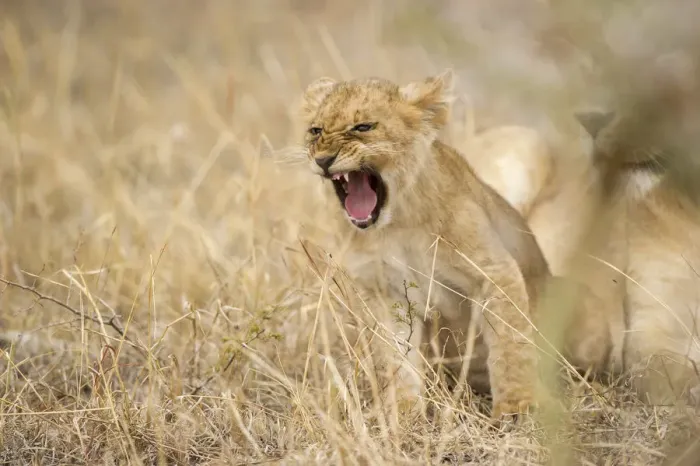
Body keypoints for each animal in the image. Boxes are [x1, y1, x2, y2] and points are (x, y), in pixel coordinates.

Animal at [297, 69, 552, 420]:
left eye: (363, 127)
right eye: (316, 130)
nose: (323, 160)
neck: (397, 225)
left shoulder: (494, 270)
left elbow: (510, 341)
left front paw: (517, 408)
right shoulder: (385, 292)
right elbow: (396, 358)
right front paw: (404, 415)